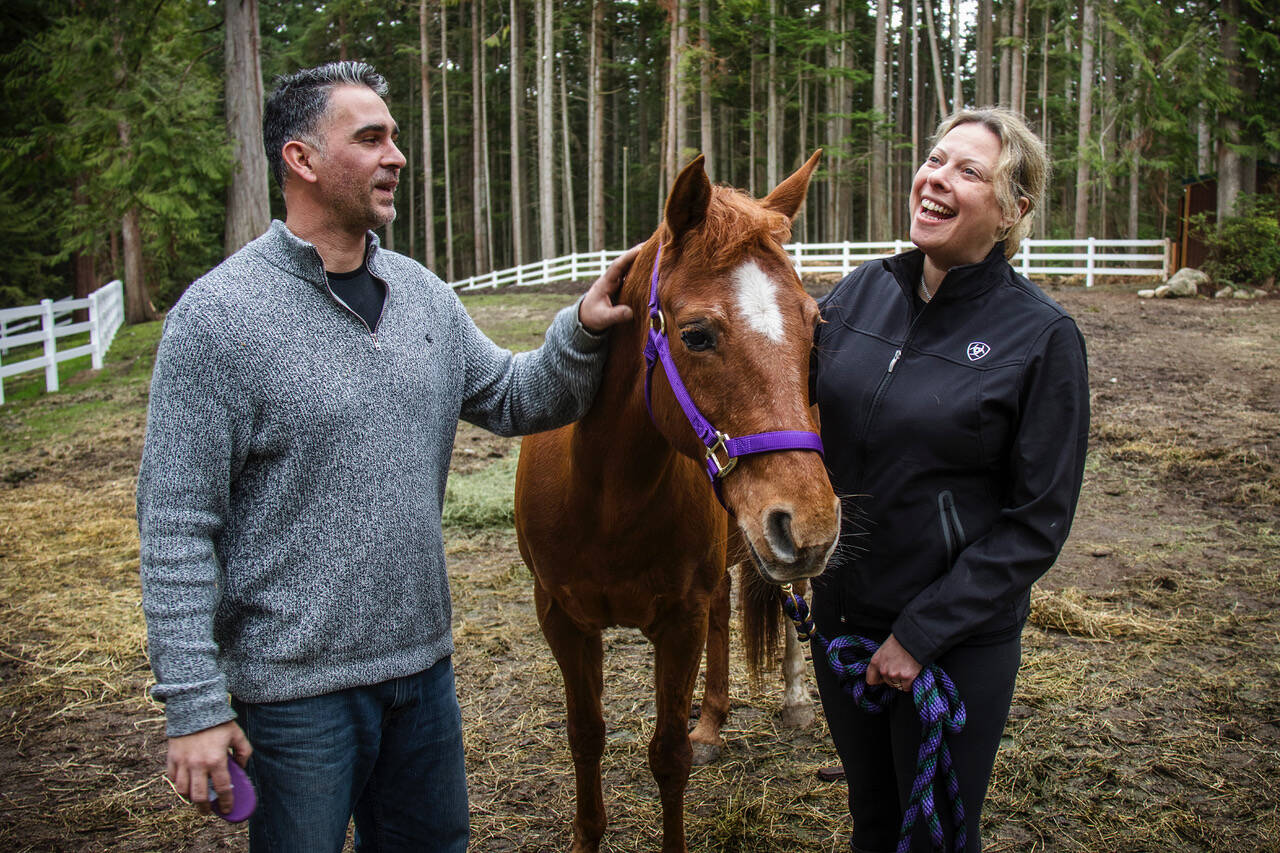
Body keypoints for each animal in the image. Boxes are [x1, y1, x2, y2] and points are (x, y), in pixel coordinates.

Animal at [514, 152, 840, 853]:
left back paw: (794, 700)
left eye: (814, 326)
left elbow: (667, 755)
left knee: (796, 603)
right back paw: (713, 721)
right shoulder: (562, 619)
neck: (606, 496)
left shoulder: (678, 620)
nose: (809, 526)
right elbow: (585, 737)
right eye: (695, 335)